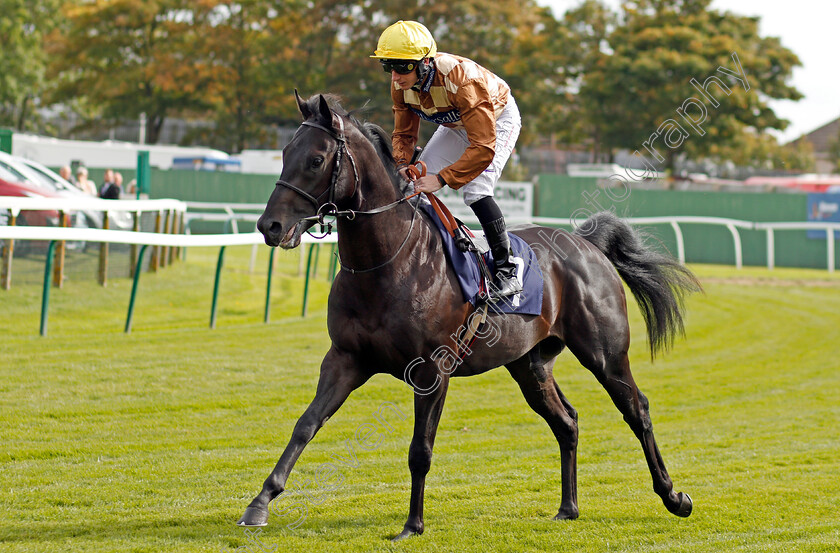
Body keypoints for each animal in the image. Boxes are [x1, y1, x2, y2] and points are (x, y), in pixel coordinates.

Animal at [243, 92, 704, 536]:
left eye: (316, 160)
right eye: (285, 152)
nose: (270, 226)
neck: (389, 262)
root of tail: (586, 242)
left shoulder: (432, 371)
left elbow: (420, 450)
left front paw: (412, 525)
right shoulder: (345, 359)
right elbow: (306, 424)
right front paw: (259, 503)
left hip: (605, 354)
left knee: (637, 409)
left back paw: (674, 497)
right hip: (530, 365)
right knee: (567, 422)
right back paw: (568, 508)